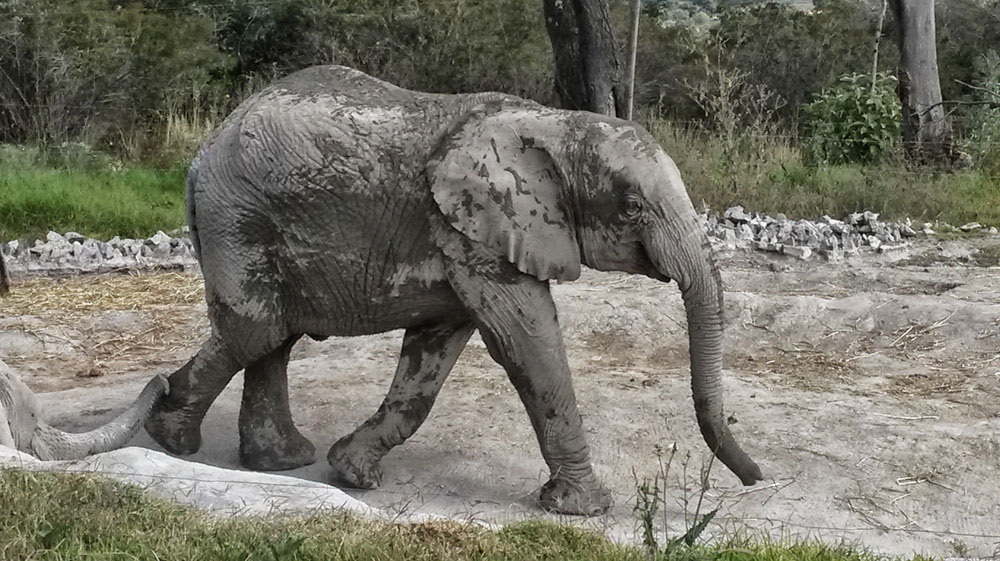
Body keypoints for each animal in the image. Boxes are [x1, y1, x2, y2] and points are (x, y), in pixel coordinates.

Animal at [143, 63, 764, 516]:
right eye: (633, 207)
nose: (755, 478)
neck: (555, 125)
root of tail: (206, 148)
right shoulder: (475, 231)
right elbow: (528, 343)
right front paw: (583, 509)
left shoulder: (470, 238)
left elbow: (431, 358)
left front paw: (350, 470)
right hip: (237, 217)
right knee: (258, 328)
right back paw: (168, 434)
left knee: (274, 336)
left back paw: (279, 462)